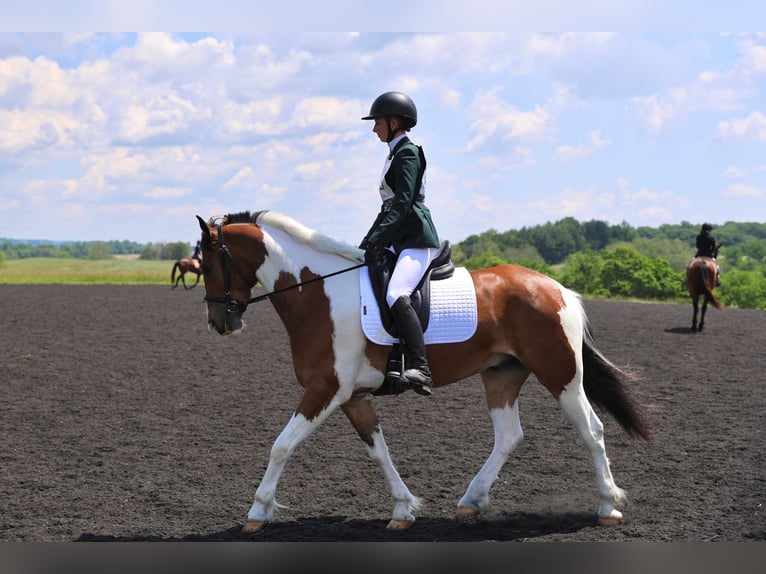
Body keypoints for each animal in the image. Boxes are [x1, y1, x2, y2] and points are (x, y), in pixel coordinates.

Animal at [195, 210, 651, 536]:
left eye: (210, 266)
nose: (219, 322)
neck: (318, 293)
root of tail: (559, 289)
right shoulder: (353, 396)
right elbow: (378, 451)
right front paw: (404, 509)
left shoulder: (325, 389)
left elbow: (281, 445)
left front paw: (257, 511)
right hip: (502, 375)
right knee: (509, 435)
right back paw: (471, 500)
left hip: (561, 376)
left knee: (591, 430)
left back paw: (608, 506)